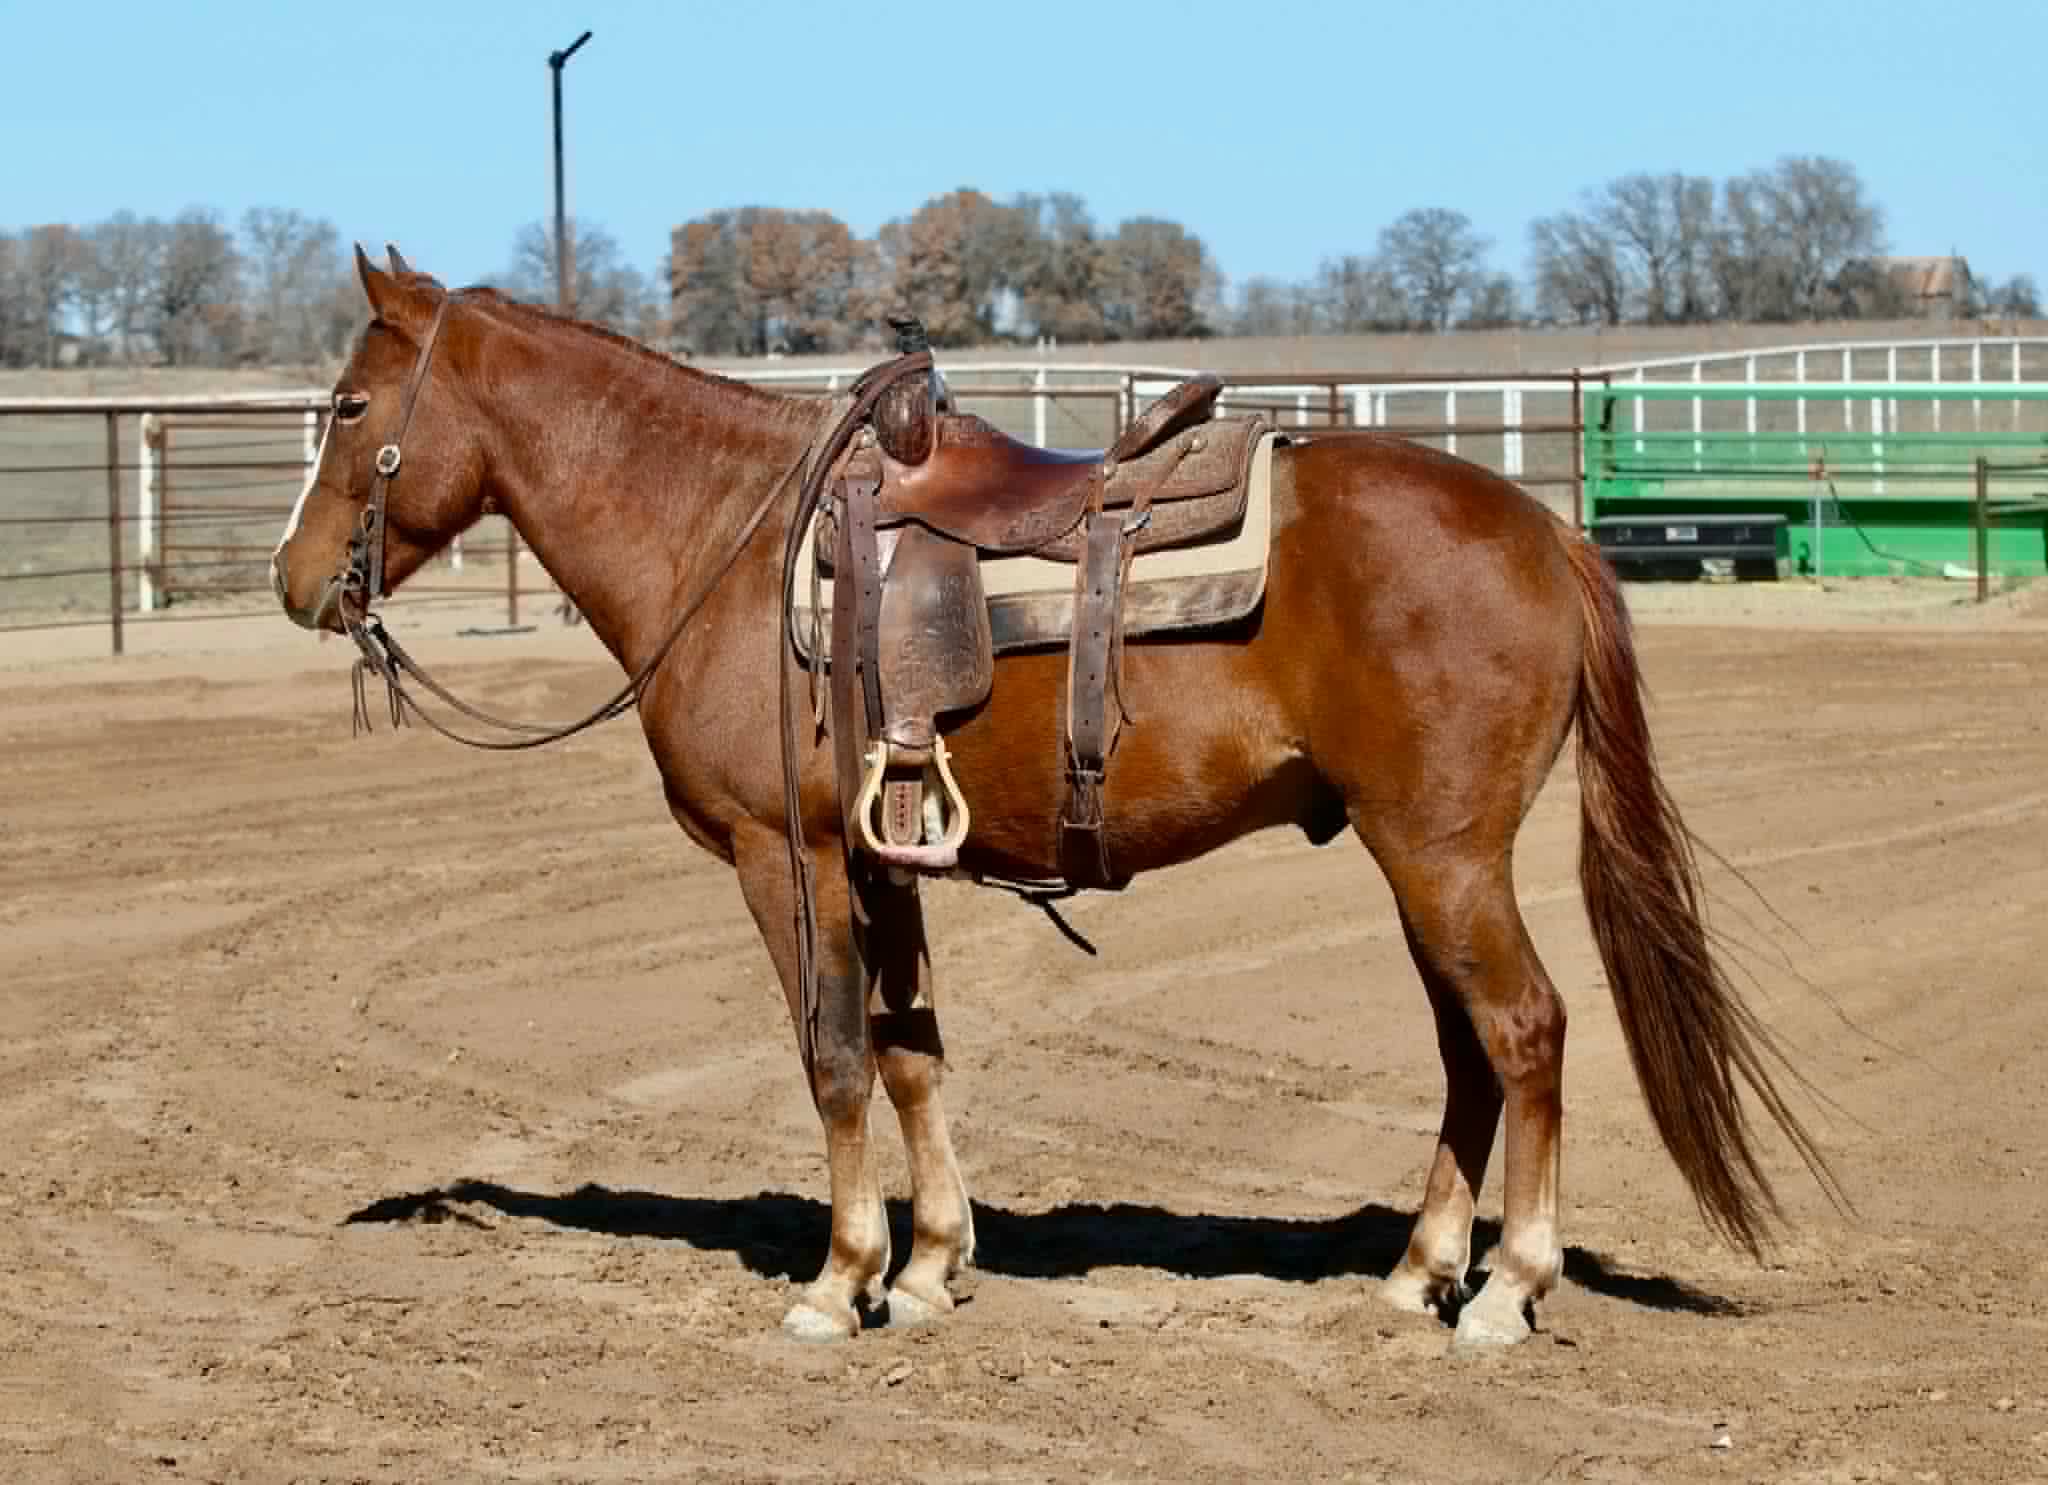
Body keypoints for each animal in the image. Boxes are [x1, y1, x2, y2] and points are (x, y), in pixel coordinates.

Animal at [271, 248, 1836, 1349]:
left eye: (347, 404)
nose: (294, 581)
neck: (727, 539)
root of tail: (1541, 528)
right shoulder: (884, 858)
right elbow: (910, 1053)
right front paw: (930, 1266)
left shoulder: (790, 860)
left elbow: (832, 1055)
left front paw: (837, 1281)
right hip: (1423, 864)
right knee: (1468, 1050)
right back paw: (1416, 1275)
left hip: (1443, 856)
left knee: (1522, 1031)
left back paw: (1510, 1290)